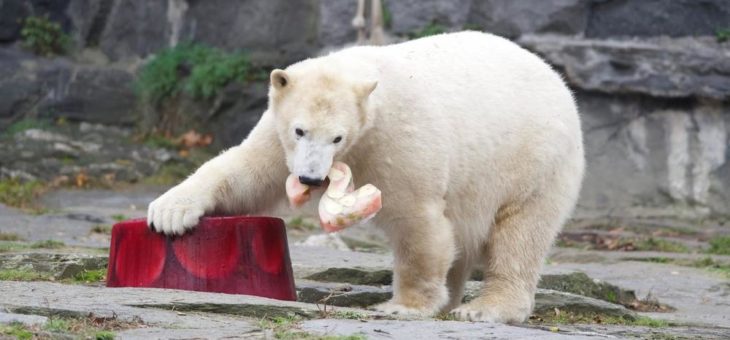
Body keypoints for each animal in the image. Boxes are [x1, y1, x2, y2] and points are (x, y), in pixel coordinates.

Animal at [145, 31, 584, 322]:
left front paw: (401, 305)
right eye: (300, 130)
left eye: (337, 137)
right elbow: (247, 172)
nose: (309, 178)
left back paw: (483, 309)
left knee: (519, 233)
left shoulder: (396, 136)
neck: (364, 77)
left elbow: (415, 218)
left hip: (533, 159)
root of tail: (557, 81)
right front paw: (170, 213)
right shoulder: (278, 133)